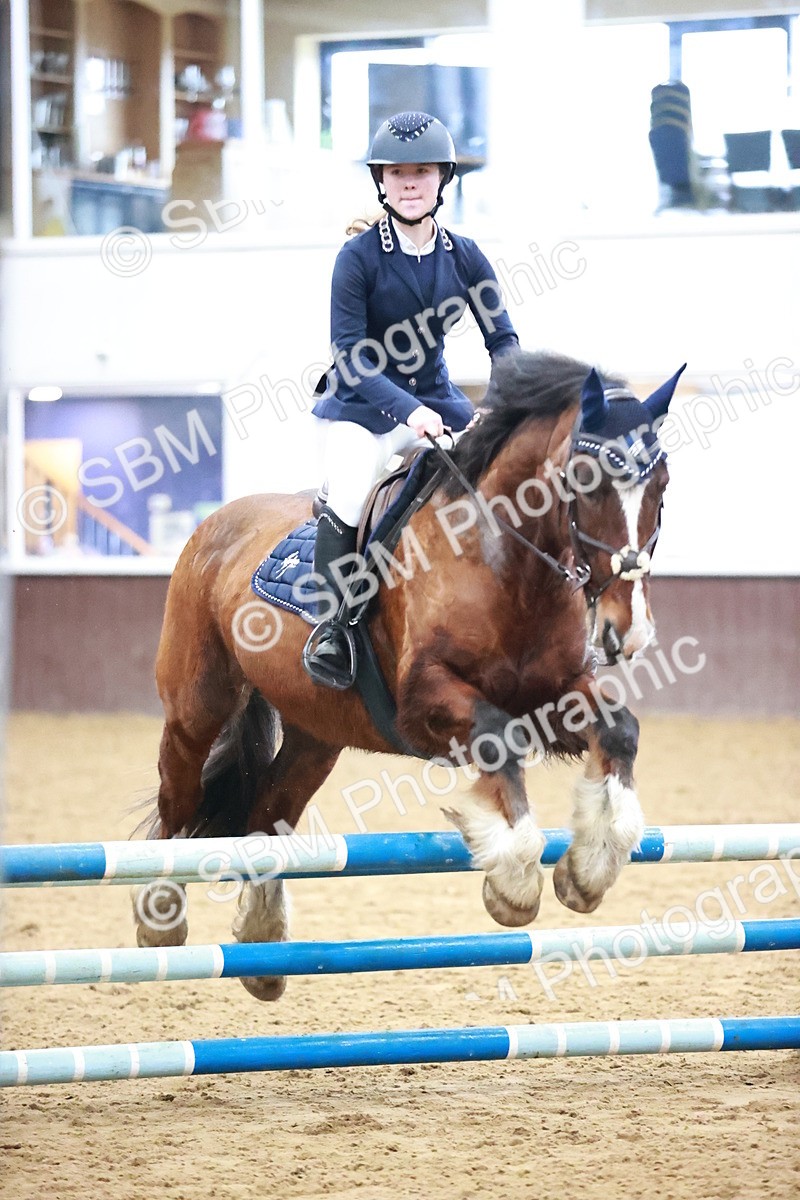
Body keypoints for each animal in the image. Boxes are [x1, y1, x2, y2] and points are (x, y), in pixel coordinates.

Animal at [133, 349, 684, 1001]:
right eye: (586, 478)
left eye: (662, 485)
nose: (631, 630)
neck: (506, 565)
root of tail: (215, 525)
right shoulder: (425, 700)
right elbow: (499, 739)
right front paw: (513, 881)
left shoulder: (554, 697)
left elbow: (619, 730)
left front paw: (589, 869)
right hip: (197, 707)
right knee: (179, 798)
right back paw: (161, 916)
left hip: (317, 734)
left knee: (267, 810)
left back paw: (263, 947)